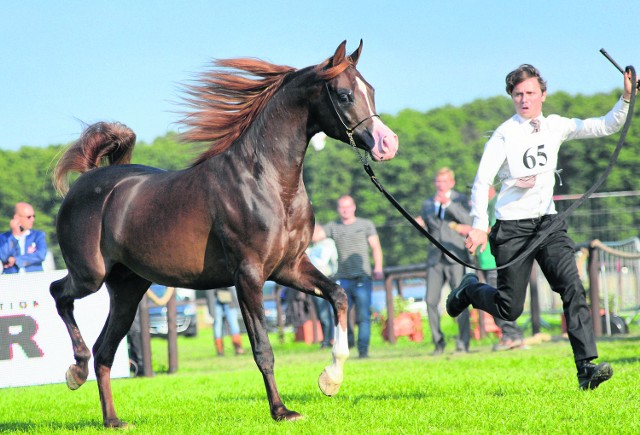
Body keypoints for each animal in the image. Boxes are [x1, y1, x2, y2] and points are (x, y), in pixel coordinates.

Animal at [50, 39, 398, 428]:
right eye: (344, 94)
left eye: (371, 90)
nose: (388, 144)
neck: (267, 181)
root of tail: (88, 180)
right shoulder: (248, 276)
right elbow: (263, 349)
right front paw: (282, 411)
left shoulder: (289, 267)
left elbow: (339, 295)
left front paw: (330, 379)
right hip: (90, 276)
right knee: (59, 295)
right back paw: (75, 371)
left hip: (128, 289)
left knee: (105, 351)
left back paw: (112, 419)